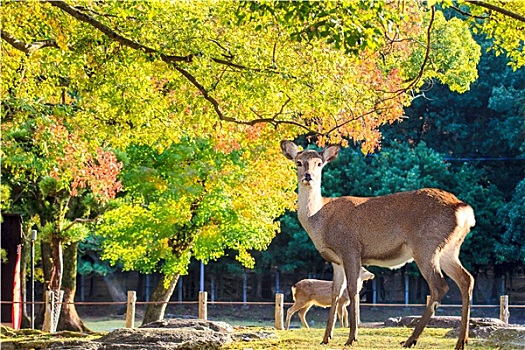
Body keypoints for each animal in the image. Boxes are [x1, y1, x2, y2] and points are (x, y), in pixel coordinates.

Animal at [280, 141, 476, 348]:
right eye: (299, 162)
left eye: (319, 163)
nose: (308, 176)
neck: (320, 221)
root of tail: (463, 210)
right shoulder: (336, 260)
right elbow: (336, 293)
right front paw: (326, 338)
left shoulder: (350, 248)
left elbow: (352, 290)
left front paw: (351, 337)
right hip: (449, 249)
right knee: (466, 279)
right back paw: (461, 340)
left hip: (426, 245)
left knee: (439, 286)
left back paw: (411, 340)